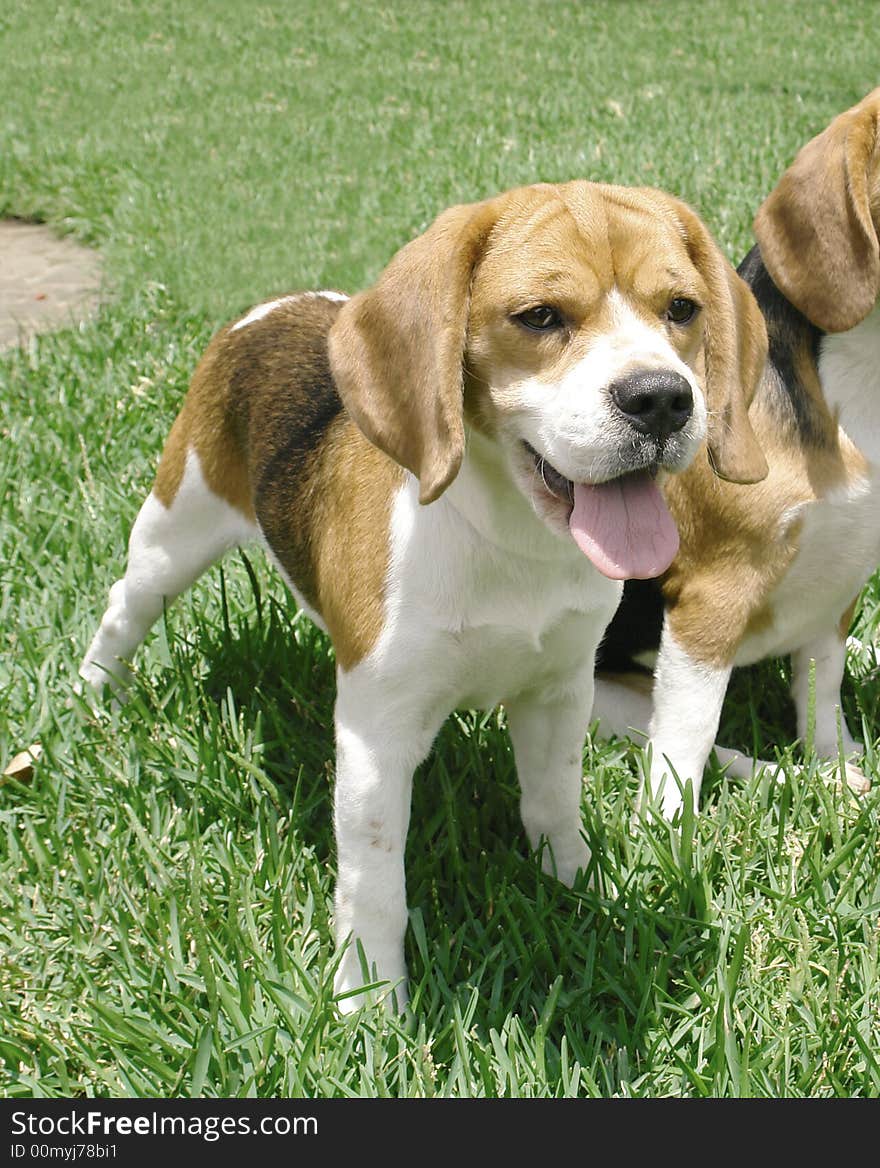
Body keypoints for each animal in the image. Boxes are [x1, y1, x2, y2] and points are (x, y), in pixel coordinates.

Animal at [78, 177, 766, 1009]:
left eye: (683, 309)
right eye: (540, 317)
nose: (662, 399)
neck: (512, 538)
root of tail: (273, 308)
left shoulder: (561, 693)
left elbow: (553, 803)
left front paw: (575, 887)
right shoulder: (378, 737)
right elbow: (375, 885)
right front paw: (371, 1005)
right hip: (174, 528)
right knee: (124, 608)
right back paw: (94, 695)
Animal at [593, 88, 878, 822]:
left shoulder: (838, 578)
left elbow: (822, 695)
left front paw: (835, 760)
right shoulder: (710, 598)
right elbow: (688, 739)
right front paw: (664, 832)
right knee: (720, 753)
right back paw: (788, 782)